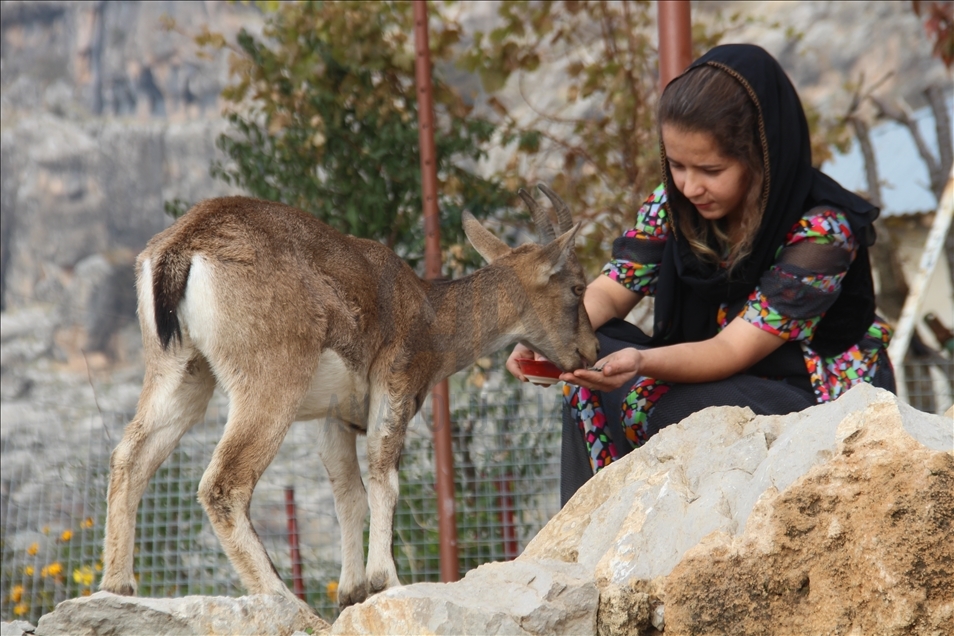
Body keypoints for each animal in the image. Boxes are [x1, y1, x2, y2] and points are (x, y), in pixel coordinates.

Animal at [100, 185, 599, 623]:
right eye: (577, 287)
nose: (590, 351)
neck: (432, 315)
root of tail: (182, 249)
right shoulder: (395, 383)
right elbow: (383, 477)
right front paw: (385, 581)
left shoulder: (335, 419)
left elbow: (349, 495)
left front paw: (351, 593)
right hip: (271, 380)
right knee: (223, 484)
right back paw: (289, 603)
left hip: (180, 371)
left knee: (131, 456)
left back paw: (119, 588)